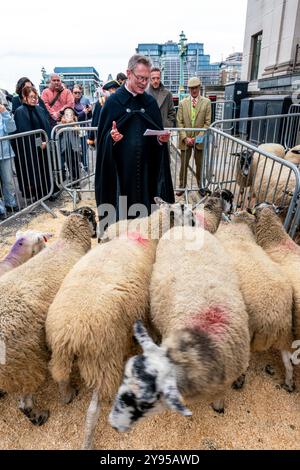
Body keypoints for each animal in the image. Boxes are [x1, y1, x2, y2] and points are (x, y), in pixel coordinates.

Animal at [0, 206, 96, 426]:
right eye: (93, 217)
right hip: (24, 361)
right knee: (24, 404)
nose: (97, 233)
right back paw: (40, 416)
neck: (69, 243)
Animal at [45, 197, 193, 448]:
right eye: (184, 209)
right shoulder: (145, 301)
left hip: (61, 354)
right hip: (103, 359)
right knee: (93, 410)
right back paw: (88, 440)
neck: (148, 231)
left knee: (59, 374)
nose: (194, 222)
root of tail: (69, 337)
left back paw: (66, 395)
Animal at [214, 211, 294, 392]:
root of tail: (273, 318)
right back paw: (290, 383)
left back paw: (239, 381)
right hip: (285, 334)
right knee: (289, 362)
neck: (240, 232)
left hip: (249, 331)